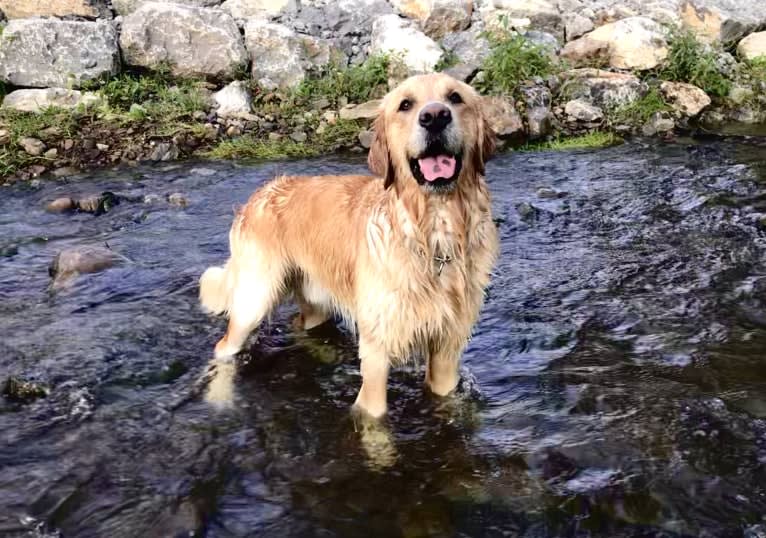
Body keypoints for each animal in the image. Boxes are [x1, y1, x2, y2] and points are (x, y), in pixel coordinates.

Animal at [200, 72, 498, 414]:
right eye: (405, 104)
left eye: (455, 97)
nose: (435, 116)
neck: (433, 235)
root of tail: (260, 194)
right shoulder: (377, 351)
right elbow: (375, 413)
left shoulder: (447, 351)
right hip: (255, 296)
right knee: (224, 347)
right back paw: (220, 398)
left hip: (314, 298)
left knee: (303, 324)